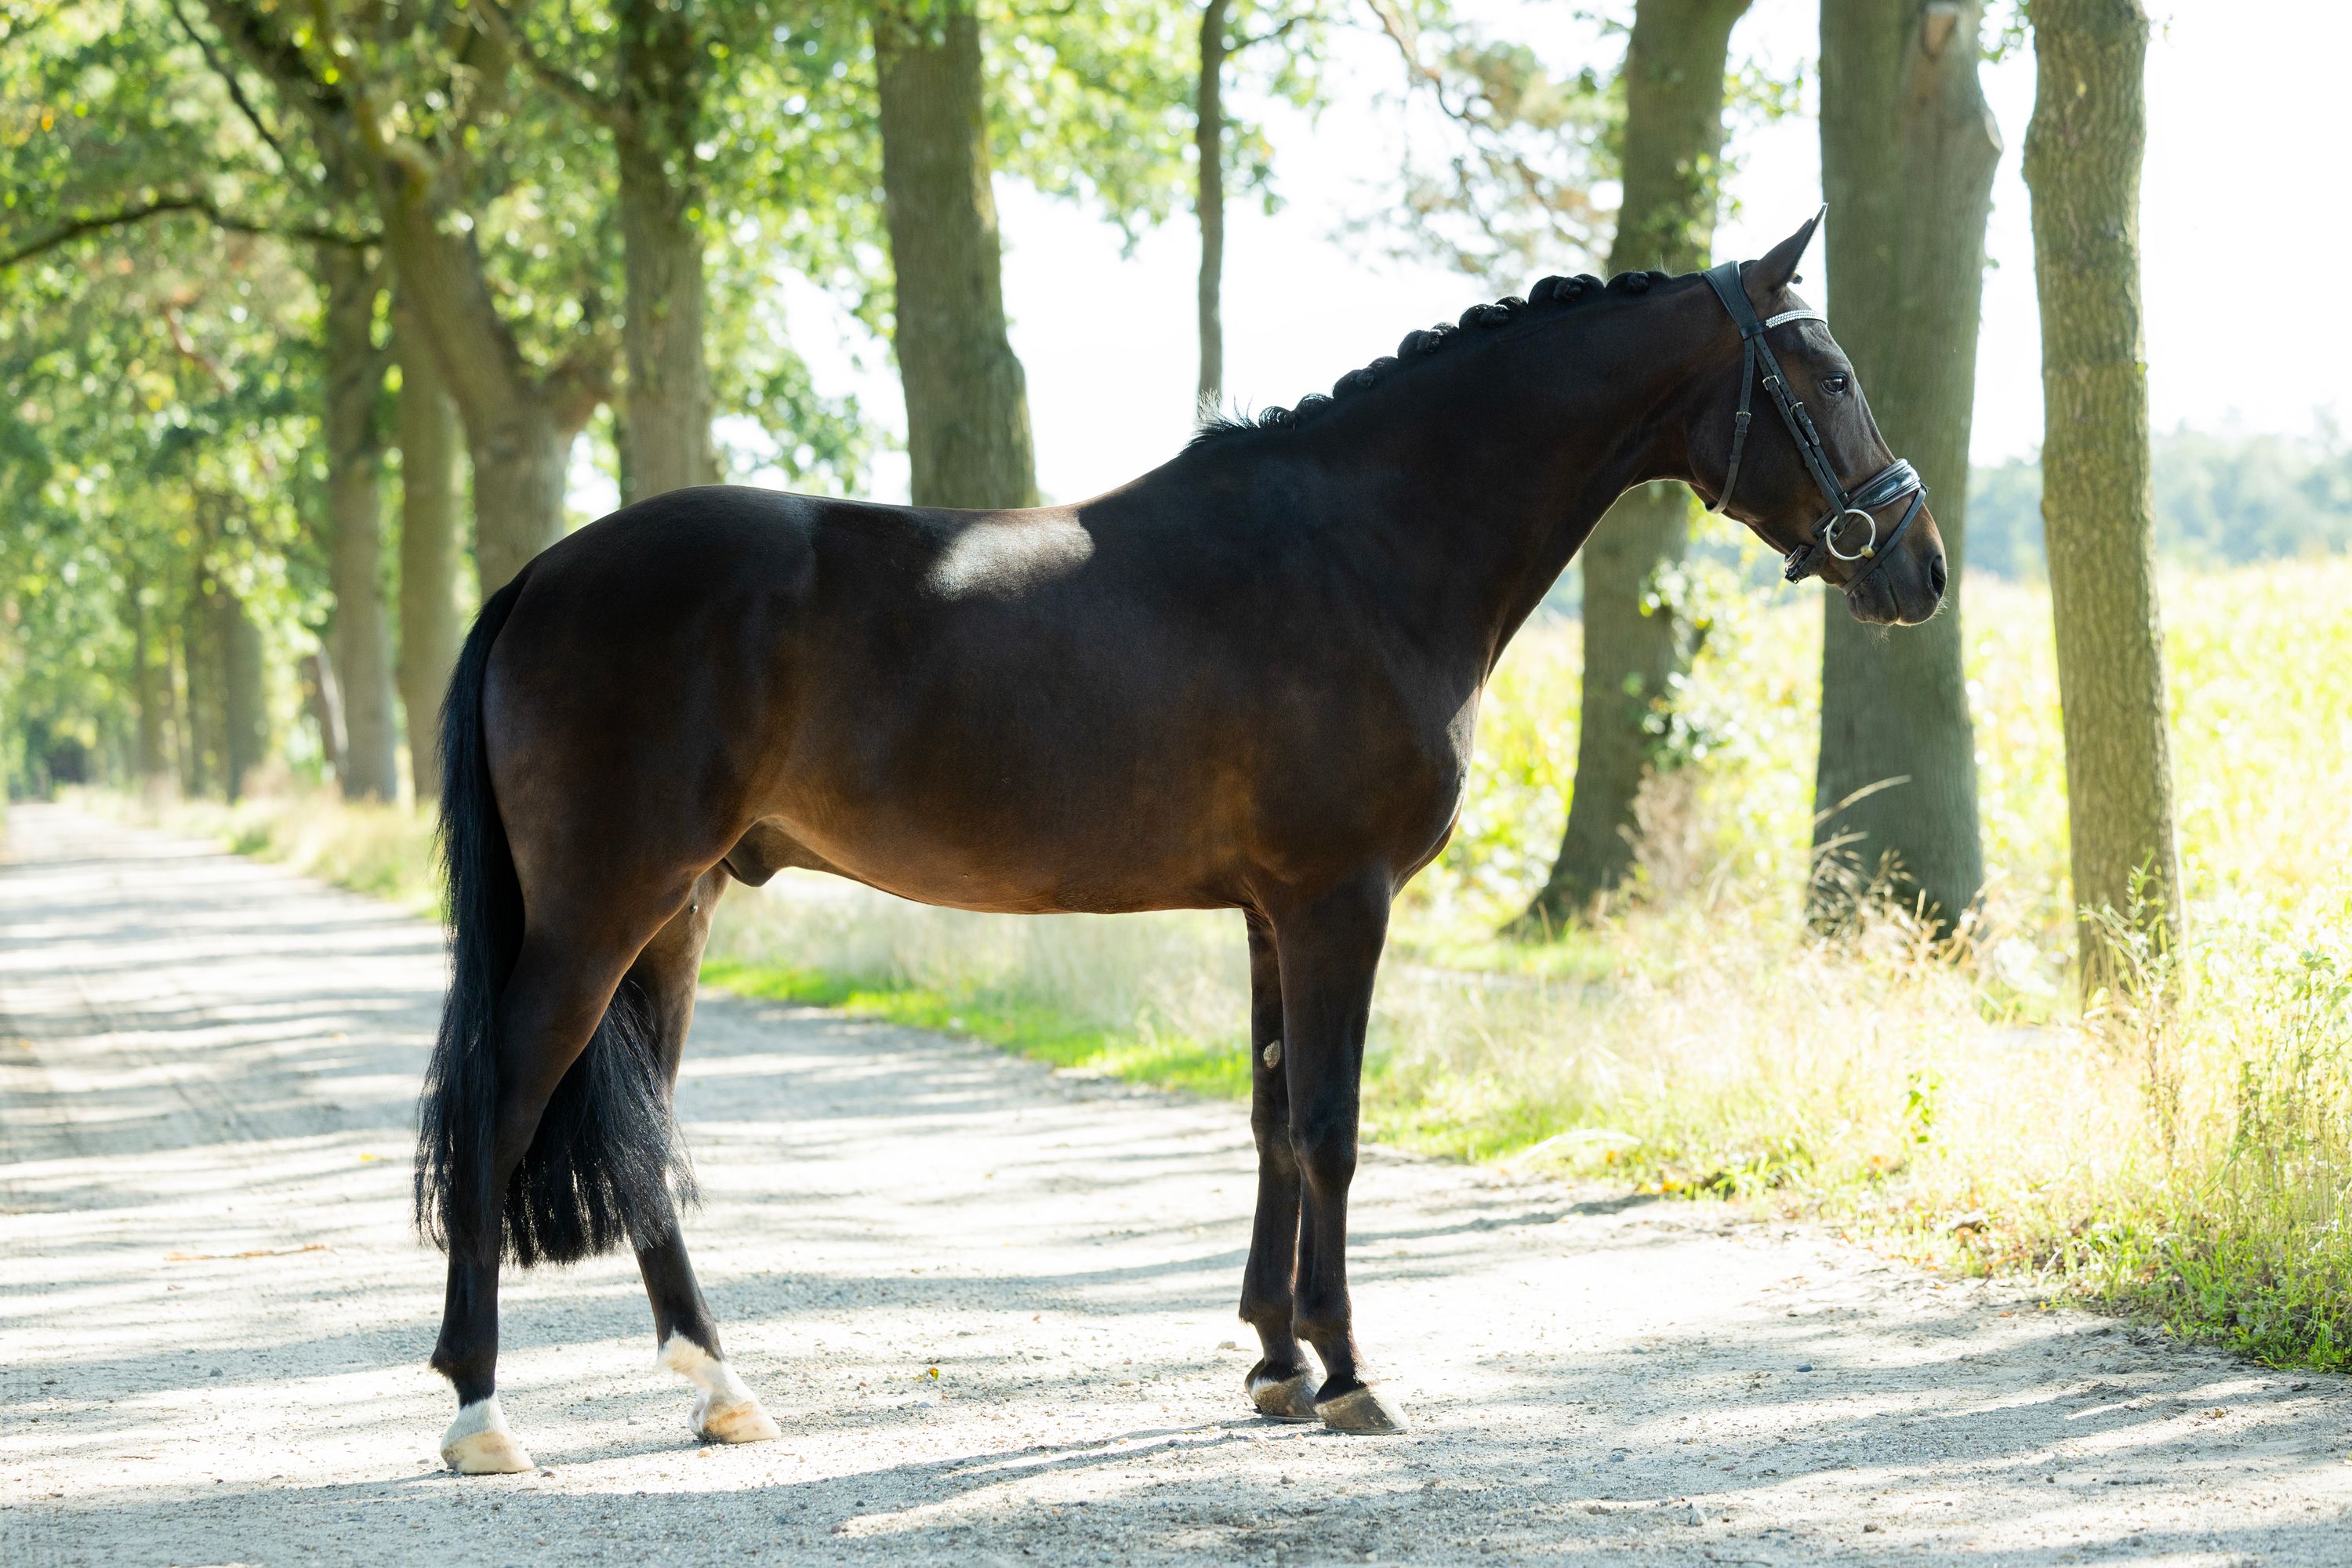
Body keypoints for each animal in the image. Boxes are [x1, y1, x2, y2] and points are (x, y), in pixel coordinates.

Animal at [415, 212, 1946, 1472]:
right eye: (1828, 376)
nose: (1919, 569)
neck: (1361, 548)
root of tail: (542, 572)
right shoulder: (1339, 902)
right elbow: (1330, 1127)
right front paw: (1348, 1373)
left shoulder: (1273, 912)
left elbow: (1269, 1118)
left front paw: (1274, 1363)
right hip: (602, 913)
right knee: (501, 1106)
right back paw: (483, 1414)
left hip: (676, 916)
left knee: (645, 1137)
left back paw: (721, 1392)